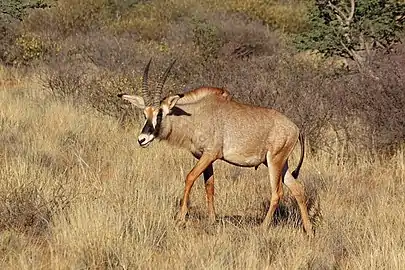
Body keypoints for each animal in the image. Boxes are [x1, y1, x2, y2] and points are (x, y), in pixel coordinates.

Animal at [118, 58, 314, 234]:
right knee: (298, 190)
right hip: (281, 164)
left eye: (160, 113)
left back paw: (263, 227)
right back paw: (309, 230)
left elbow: (190, 177)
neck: (196, 115)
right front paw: (212, 219)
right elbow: (209, 186)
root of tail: (295, 128)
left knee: (277, 193)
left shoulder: (210, 154)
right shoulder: (204, 157)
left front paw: (181, 218)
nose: (142, 139)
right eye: (145, 114)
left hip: (274, 161)